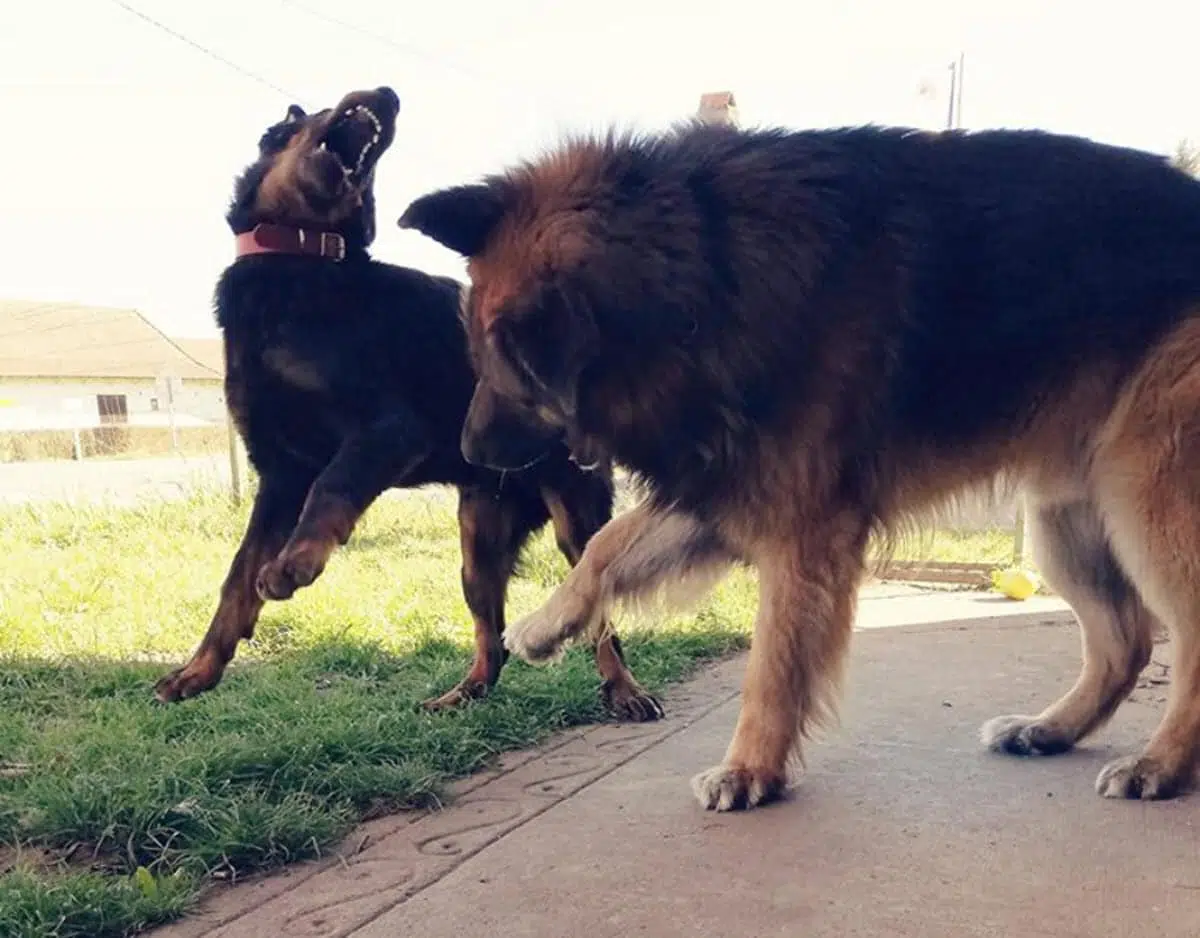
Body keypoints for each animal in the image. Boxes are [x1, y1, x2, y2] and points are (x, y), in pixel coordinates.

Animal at [152, 86, 667, 719]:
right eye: (309, 111)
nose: (389, 93)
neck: (304, 260)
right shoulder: (279, 473)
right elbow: (235, 579)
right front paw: (198, 671)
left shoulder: (385, 430)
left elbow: (331, 491)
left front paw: (296, 565)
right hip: (477, 544)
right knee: (492, 639)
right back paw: (463, 694)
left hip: (576, 518)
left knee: (599, 620)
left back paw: (625, 689)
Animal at [398, 121, 1200, 810]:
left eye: (503, 368)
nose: (467, 454)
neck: (702, 269)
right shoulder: (721, 481)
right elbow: (606, 546)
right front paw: (544, 625)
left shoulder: (800, 529)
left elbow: (773, 664)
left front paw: (751, 769)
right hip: (1069, 516)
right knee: (1125, 640)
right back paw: (1050, 729)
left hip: (1148, 502)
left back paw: (1160, 765)